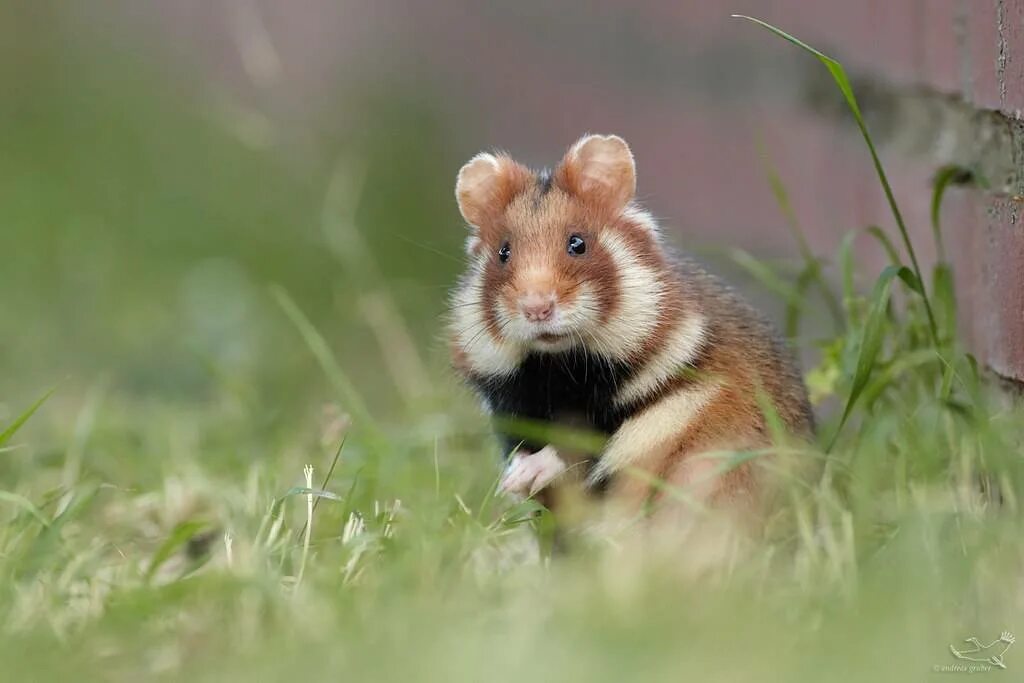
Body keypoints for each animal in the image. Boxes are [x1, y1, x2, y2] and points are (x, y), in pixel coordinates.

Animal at [448, 133, 815, 528]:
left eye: (577, 243)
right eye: (503, 252)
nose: (537, 308)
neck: (556, 366)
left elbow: (582, 444)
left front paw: (523, 475)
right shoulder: (509, 408)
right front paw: (511, 482)